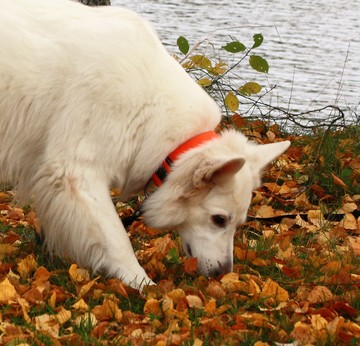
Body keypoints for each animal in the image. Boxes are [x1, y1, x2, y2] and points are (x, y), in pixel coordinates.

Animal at [0, 0, 288, 290]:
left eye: (238, 223)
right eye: (219, 220)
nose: (223, 273)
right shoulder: (76, 172)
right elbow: (116, 238)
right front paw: (141, 283)